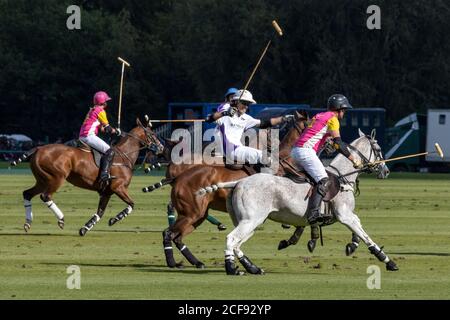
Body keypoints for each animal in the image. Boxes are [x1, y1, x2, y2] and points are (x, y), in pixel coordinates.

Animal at [16, 117, 163, 235]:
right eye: (152, 134)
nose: (161, 147)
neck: (124, 156)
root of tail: (39, 148)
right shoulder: (118, 187)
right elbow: (131, 204)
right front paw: (114, 219)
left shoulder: (106, 192)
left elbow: (100, 213)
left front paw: (85, 228)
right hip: (56, 178)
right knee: (45, 196)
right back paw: (61, 219)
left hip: (42, 180)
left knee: (27, 193)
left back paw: (28, 222)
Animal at [161, 111, 306, 268]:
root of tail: (177, 176)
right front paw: (288, 241)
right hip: (192, 214)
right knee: (170, 233)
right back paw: (175, 261)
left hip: (197, 215)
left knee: (177, 235)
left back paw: (196, 262)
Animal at [199, 129, 396, 274]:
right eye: (379, 149)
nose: (386, 171)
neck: (342, 176)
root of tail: (238, 182)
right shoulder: (344, 215)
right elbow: (364, 234)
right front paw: (387, 260)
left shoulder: (345, 215)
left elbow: (358, 229)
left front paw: (351, 246)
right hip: (251, 220)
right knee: (232, 239)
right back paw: (231, 268)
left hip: (248, 221)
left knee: (237, 244)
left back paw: (253, 268)